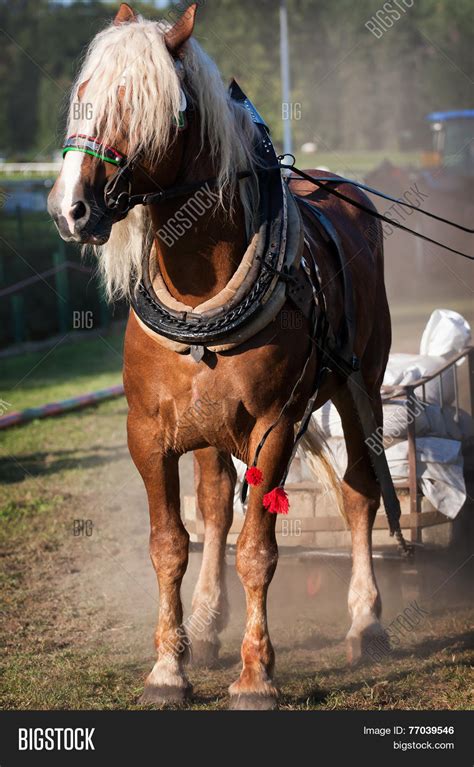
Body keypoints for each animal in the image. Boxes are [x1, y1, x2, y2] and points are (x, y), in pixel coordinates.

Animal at [48, 3, 396, 708]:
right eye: (83, 94)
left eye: (145, 106)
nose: (71, 208)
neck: (198, 288)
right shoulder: (147, 432)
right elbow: (171, 542)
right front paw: (168, 667)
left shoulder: (273, 428)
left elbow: (257, 550)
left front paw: (256, 675)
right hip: (208, 424)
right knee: (212, 505)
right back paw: (207, 626)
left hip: (361, 390)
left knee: (359, 494)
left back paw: (365, 622)